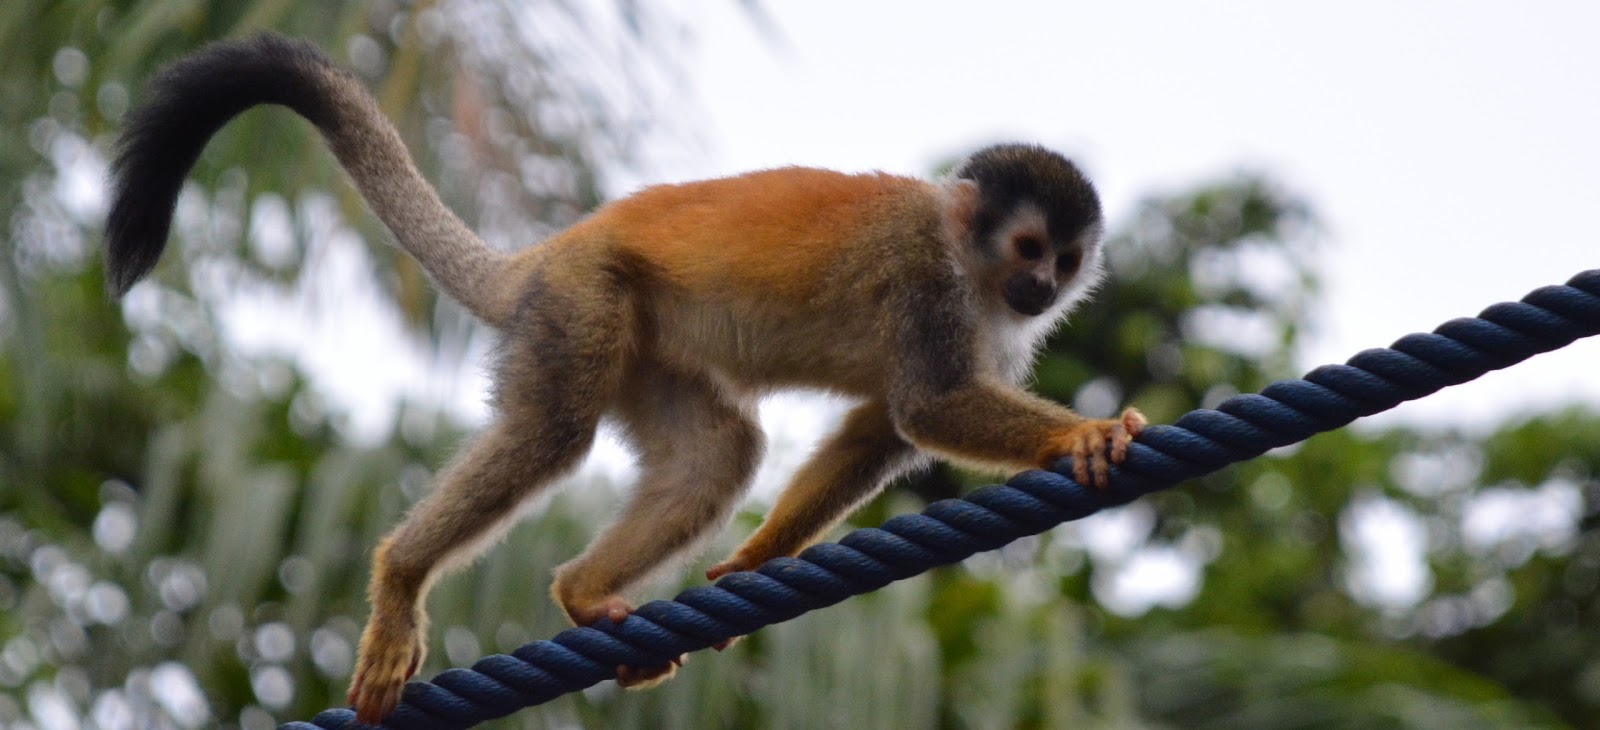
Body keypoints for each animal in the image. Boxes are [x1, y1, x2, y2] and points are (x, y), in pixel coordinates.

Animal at [105, 34, 1146, 724]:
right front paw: (1083, 435)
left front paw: (754, 559)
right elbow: (927, 404)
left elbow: (882, 427)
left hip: (646, 342)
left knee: (721, 452)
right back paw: (400, 578)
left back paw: (580, 590)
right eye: (1028, 248)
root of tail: (545, 254)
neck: (970, 266)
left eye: (1064, 261)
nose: (1043, 287)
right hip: (584, 304)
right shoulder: (929, 279)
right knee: (554, 432)